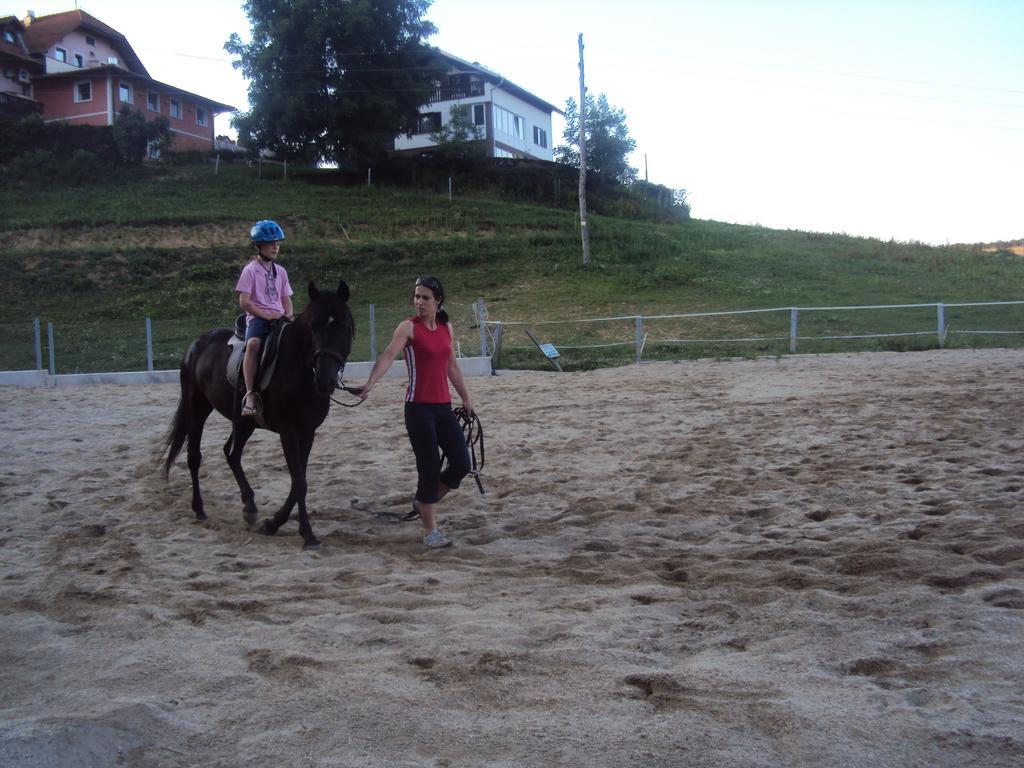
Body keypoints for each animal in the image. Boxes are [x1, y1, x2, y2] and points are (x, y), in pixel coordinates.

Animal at [163, 280, 356, 548]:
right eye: (313, 327)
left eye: (344, 325)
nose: (325, 381)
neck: (299, 367)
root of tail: (196, 344)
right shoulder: (288, 431)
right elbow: (299, 482)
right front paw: (306, 533)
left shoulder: (307, 432)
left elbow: (299, 481)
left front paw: (272, 524)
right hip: (197, 408)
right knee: (194, 456)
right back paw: (199, 508)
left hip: (245, 422)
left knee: (231, 453)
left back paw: (250, 508)